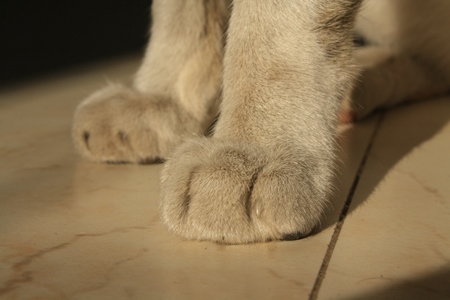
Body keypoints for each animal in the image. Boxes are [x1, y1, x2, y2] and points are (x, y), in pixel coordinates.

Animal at [72, 0, 450, 244]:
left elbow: (271, 25)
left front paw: (254, 148)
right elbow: (179, 13)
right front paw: (166, 98)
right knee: (432, 64)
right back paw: (358, 84)